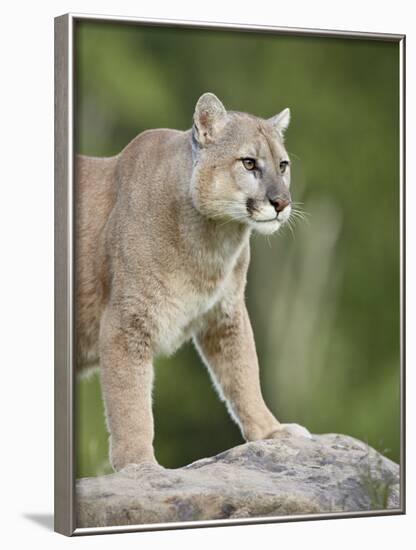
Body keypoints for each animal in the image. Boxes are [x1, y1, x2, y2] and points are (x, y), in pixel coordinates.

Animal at [75, 92, 308, 472]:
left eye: (283, 165)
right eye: (248, 163)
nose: (281, 202)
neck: (214, 237)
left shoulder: (225, 315)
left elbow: (244, 375)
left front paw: (271, 431)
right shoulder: (126, 323)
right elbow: (131, 405)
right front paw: (140, 465)